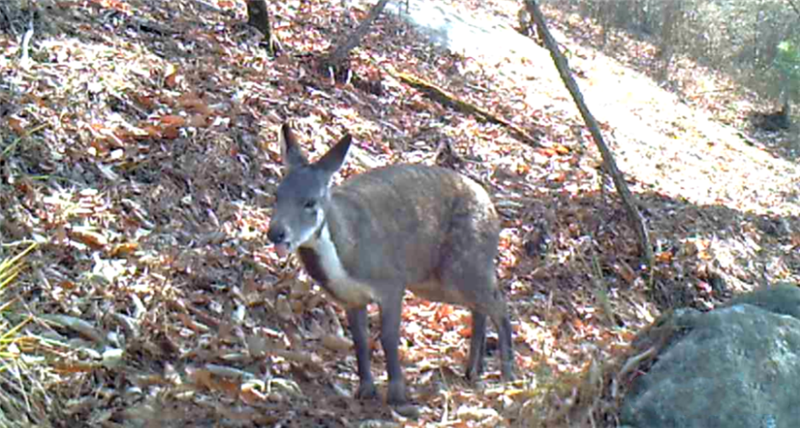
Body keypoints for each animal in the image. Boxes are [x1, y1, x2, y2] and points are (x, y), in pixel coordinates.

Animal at [266, 123, 516, 404]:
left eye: (310, 202)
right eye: (276, 195)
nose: (276, 233)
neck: (347, 256)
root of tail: (493, 211)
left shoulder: (391, 281)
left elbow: (388, 336)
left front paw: (397, 394)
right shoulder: (351, 298)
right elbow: (359, 339)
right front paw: (365, 389)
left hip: (465, 262)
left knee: (499, 305)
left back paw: (508, 376)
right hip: (436, 280)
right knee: (480, 306)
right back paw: (473, 370)